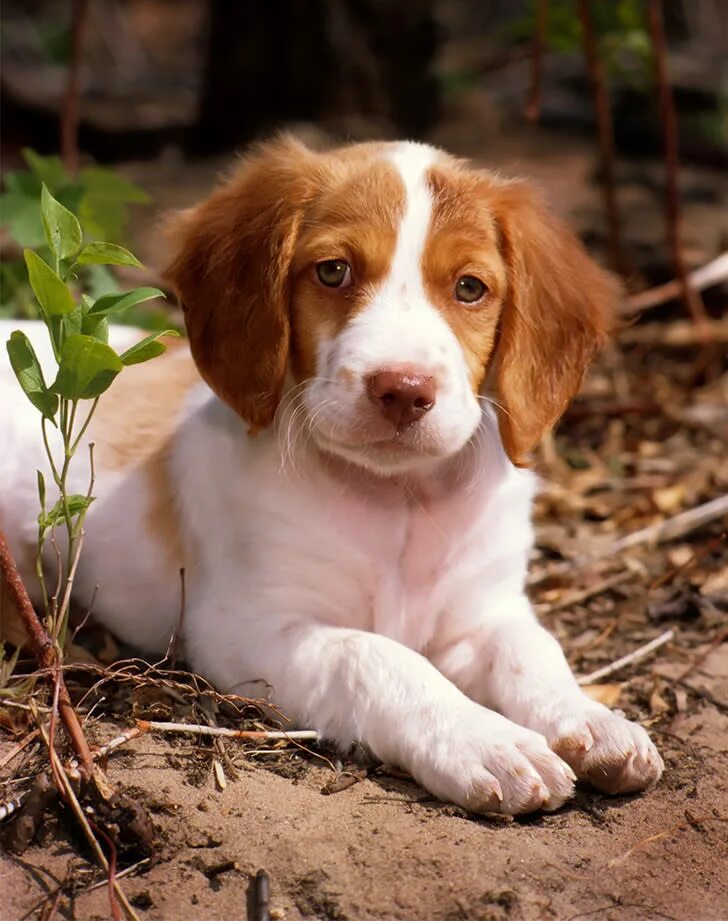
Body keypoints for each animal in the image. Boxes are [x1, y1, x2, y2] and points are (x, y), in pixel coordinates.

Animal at [0, 135, 664, 812]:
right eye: (333, 272)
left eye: (470, 287)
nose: (404, 389)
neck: (398, 499)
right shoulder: (248, 626)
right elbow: (377, 657)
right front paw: (488, 741)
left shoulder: (483, 613)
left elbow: (531, 651)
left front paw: (591, 720)